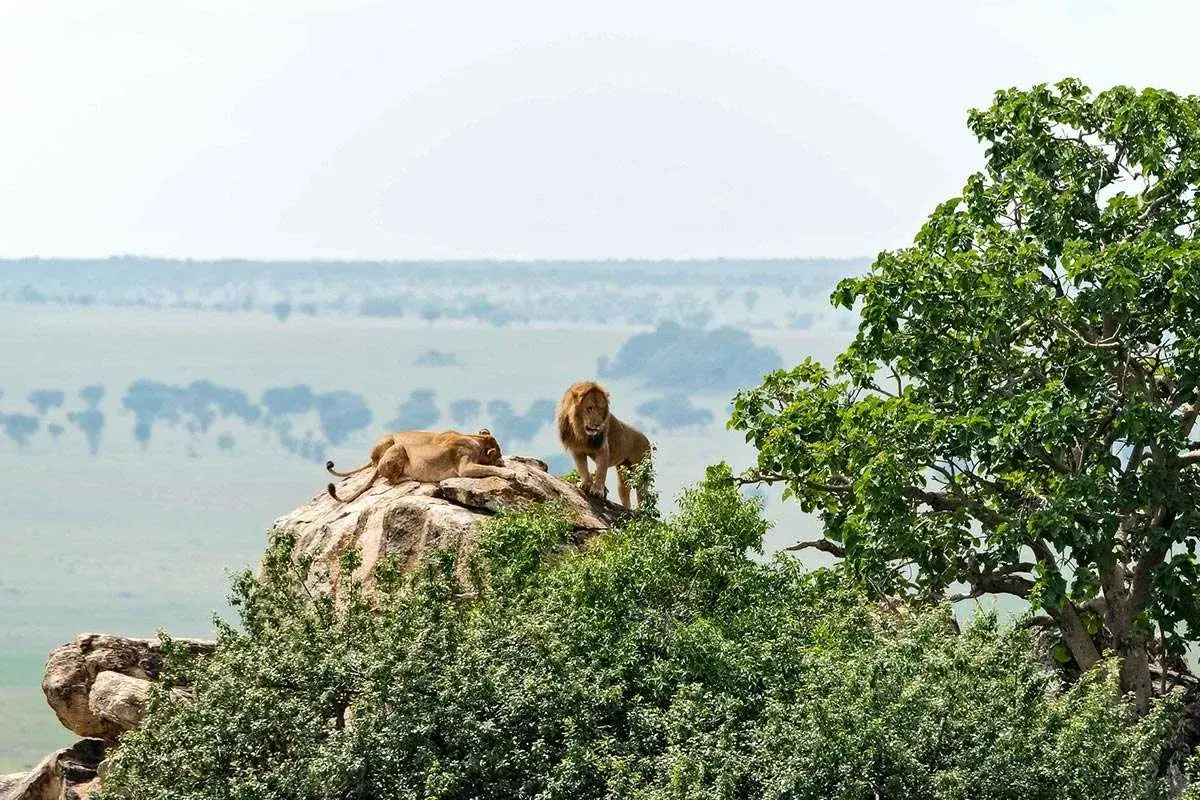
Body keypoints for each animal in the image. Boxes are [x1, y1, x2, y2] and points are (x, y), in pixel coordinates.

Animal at [326, 429, 514, 503]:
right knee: (390, 480)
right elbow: (488, 468)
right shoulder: (464, 467)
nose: (502, 459)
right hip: (397, 447)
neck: (476, 439)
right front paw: (509, 472)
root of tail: (378, 463)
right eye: (499, 452)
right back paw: (408, 477)